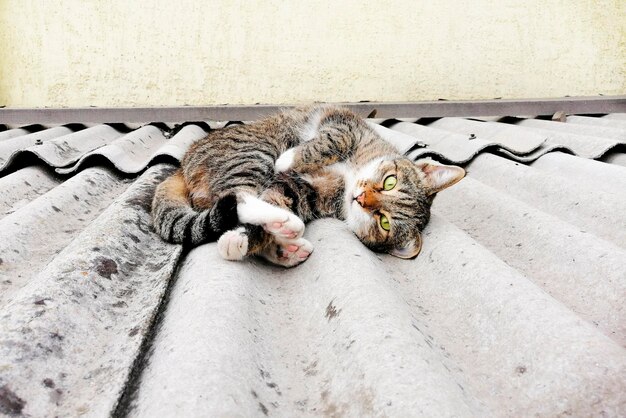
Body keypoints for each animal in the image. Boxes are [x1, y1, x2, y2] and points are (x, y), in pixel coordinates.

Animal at [151, 105, 464, 268]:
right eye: (390, 182)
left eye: (384, 222)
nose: (361, 198)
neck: (349, 176)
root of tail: (181, 165)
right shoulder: (342, 124)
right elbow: (328, 141)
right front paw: (288, 158)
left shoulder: (306, 191)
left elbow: (279, 196)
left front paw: (251, 241)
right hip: (253, 152)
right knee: (238, 194)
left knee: (240, 198)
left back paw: (285, 242)